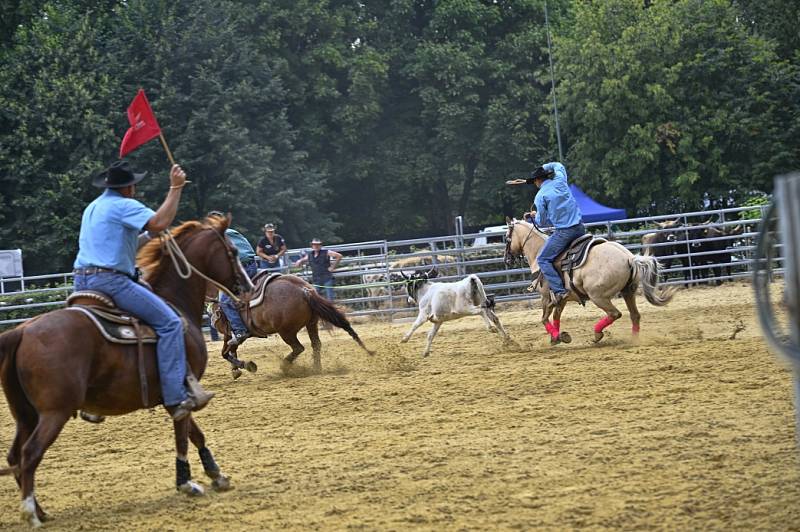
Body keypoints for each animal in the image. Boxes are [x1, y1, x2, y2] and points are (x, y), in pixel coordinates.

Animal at [0, 217, 253, 528]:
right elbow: (183, 434)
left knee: (16, 457)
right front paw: (186, 483)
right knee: (30, 453)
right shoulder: (180, 393)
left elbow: (196, 434)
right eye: (233, 251)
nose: (246, 287)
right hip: (53, 412)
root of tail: (21, 331)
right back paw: (30, 513)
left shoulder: (175, 396)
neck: (174, 303)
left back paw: (41, 510)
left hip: (26, 415)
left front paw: (217, 475)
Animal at [212, 272, 376, 380]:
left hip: (286, 332)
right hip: (311, 324)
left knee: (299, 347)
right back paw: (316, 369)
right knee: (316, 344)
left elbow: (225, 353)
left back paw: (284, 366)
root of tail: (304, 290)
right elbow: (231, 351)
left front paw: (246, 365)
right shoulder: (232, 335)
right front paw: (236, 370)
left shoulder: (229, 334)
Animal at [506, 218, 676, 342]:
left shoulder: (546, 296)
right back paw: (634, 340)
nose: (507, 259)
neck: (538, 252)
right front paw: (559, 336)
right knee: (635, 315)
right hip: (628, 291)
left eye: (507, 238)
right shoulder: (562, 298)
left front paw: (556, 337)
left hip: (598, 296)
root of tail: (629, 258)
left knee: (615, 313)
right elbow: (555, 317)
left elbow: (544, 318)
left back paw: (597, 334)